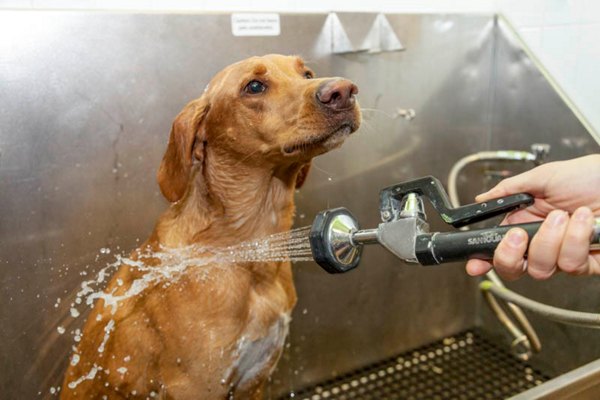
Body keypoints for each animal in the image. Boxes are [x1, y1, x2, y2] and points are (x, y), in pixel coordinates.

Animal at [61, 54, 360, 400]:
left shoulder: (253, 380)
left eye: (307, 74)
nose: (343, 90)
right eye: (254, 87)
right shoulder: (197, 386)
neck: (248, 255)